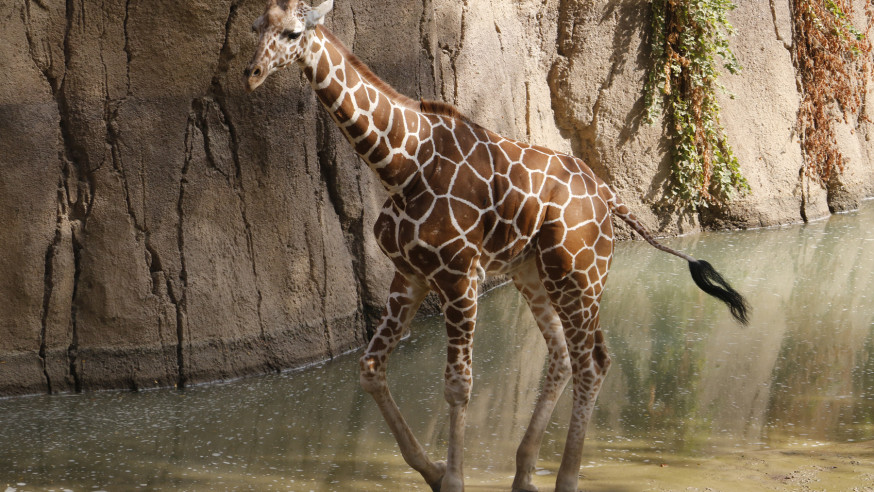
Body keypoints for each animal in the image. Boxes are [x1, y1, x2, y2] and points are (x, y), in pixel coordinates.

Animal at [242, 1, 744, 490]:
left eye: (292, 33)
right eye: (255, 26)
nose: (251, 73)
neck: (401, 168)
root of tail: (609, 196)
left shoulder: (459, 277)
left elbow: (458, 385)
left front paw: (453, 479)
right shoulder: (411, 275)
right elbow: (370, 369)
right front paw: (433, 471)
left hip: (579, 276)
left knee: (593, 362)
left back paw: (565, 478)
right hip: (536, 274)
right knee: (564, 357)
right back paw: (523, 473)